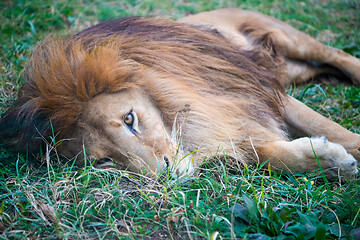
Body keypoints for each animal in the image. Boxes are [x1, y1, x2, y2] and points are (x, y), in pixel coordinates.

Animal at [0, 8, 360, 179]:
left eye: (129, 119)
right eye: (105, 161)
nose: (166, 176)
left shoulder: (254, 92)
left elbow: (331, 129)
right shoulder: (234, 124)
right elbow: (269, 154)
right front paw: (331, 162)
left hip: (286, 38)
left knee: (333, 54)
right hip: (291, 69)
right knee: (318, 67)